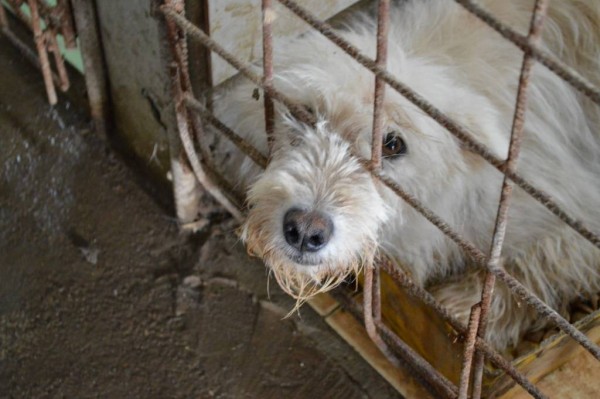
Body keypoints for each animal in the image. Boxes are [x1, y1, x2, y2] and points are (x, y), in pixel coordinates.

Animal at [214, 0, 600, 350]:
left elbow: (534, 266)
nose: (306, 231)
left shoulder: (570, 214)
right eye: (302, 113)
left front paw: (461, 312)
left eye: (393, 145)